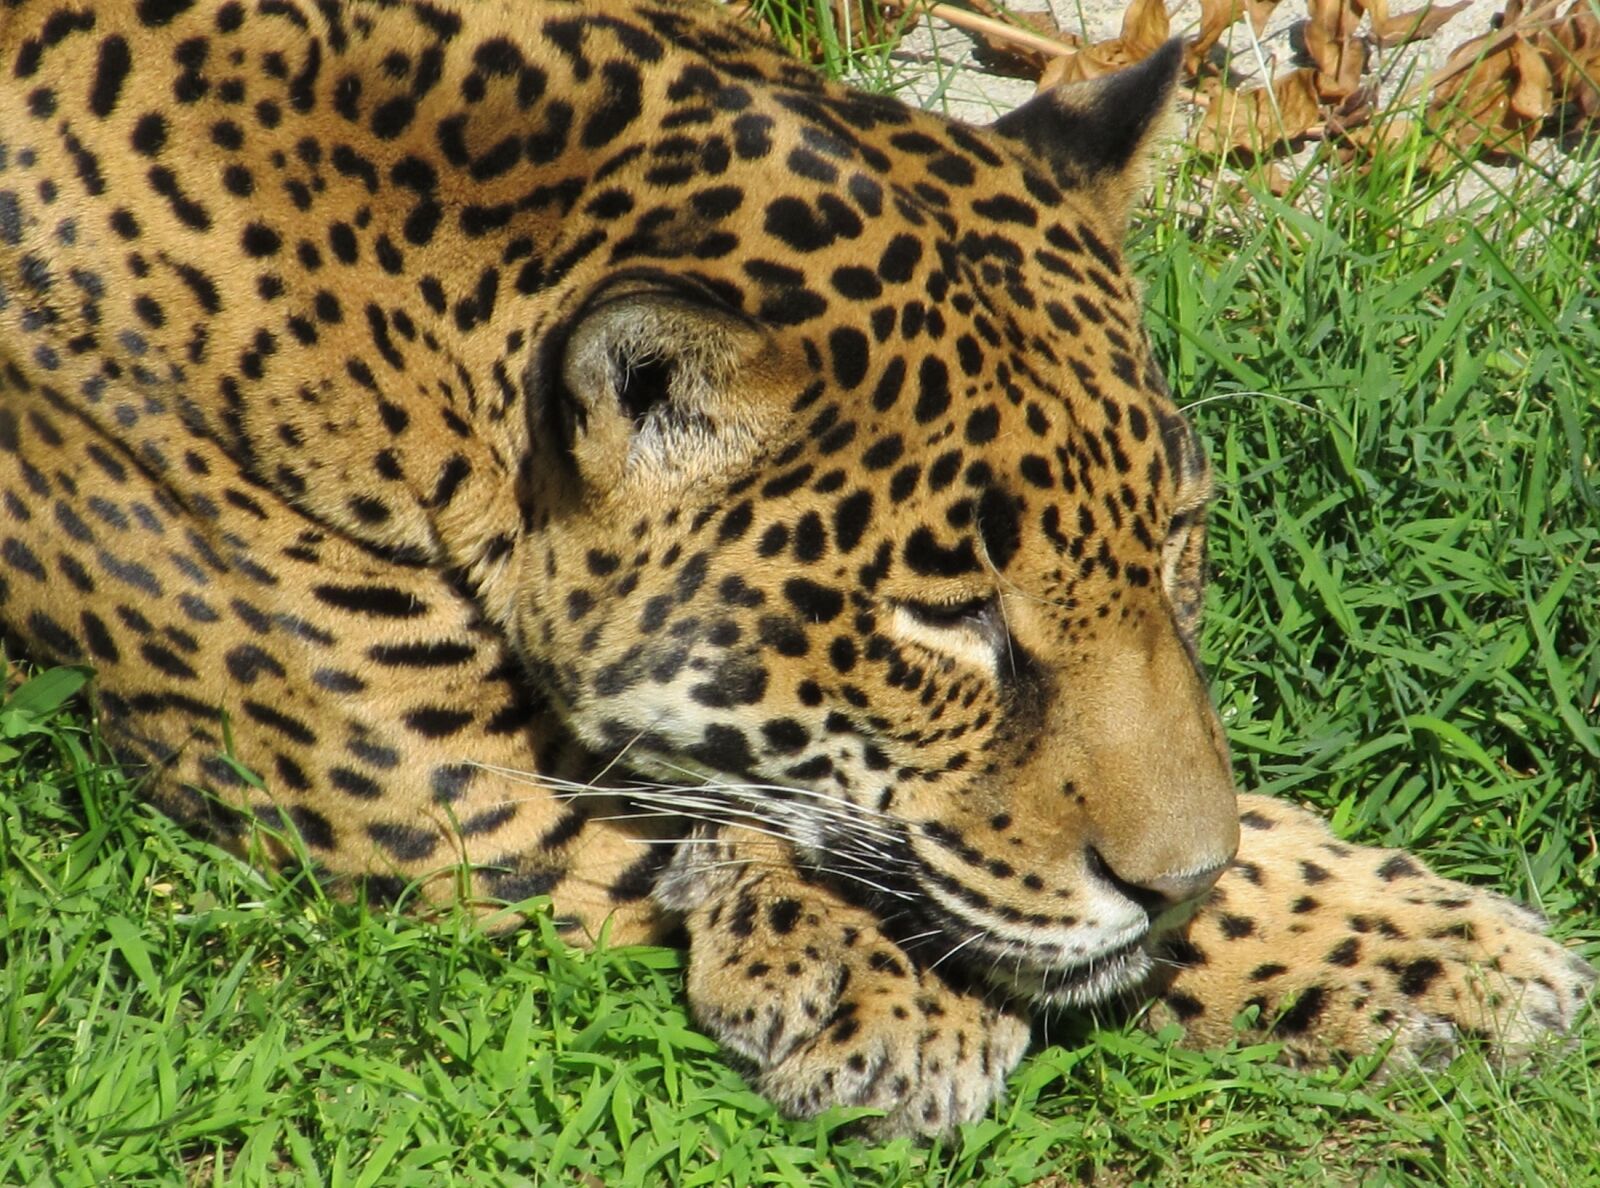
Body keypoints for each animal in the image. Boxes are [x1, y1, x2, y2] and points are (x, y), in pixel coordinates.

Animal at [0, 0, 1592, 1138]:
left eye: (1175, 538)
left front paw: (1425, 945)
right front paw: (880, 990)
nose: (1179, 879)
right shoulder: (427, 772)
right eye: (946, 619)